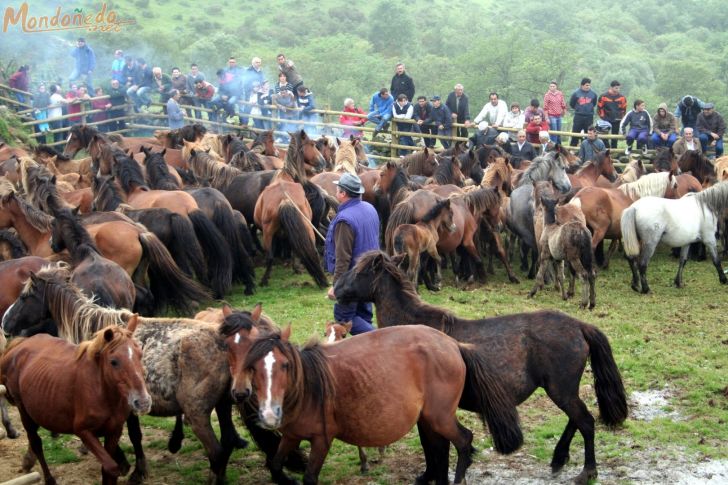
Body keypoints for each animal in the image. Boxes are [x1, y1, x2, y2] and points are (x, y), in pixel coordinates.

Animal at [0, 322, 151, 484]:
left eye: (140, 355)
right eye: (114, 361)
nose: (143, 402)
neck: (102, 391)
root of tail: (19, 345)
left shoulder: (113, 431)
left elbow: (108, 471)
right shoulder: (83, 431)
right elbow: (111, 467)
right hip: (24, 412)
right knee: (36, 444)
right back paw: (49, 478)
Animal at [237, 322, 516, 484]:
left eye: (285, 365)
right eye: (251, 368)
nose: (270, 415)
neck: (309, 388)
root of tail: (453, 344)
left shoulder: (321, 440)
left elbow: (309, 478)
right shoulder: (292, 435)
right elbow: (274, 465)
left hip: (440, 417)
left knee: (463, 441)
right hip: (429, 418)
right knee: (441, 448)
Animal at [334, 250, 624, 484]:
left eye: (359, 271)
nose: (335, 288)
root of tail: (579, 326)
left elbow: (432, 448)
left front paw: (430, 476)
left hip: (560, 390)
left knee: (585, 422)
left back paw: (587, 472)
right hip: (563, 390)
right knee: (576, 419)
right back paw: (558, 459)